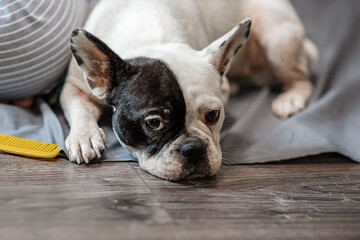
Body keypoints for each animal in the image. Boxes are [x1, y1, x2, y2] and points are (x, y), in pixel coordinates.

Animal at [59, 0, 318, 180]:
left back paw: (290, 98)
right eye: (154, 123)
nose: (193, 148)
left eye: (214, 115)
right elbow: (79, 108)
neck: (152, 40)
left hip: (277, 39)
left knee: (301, 77)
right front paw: (84, 137)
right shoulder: (74, 88)